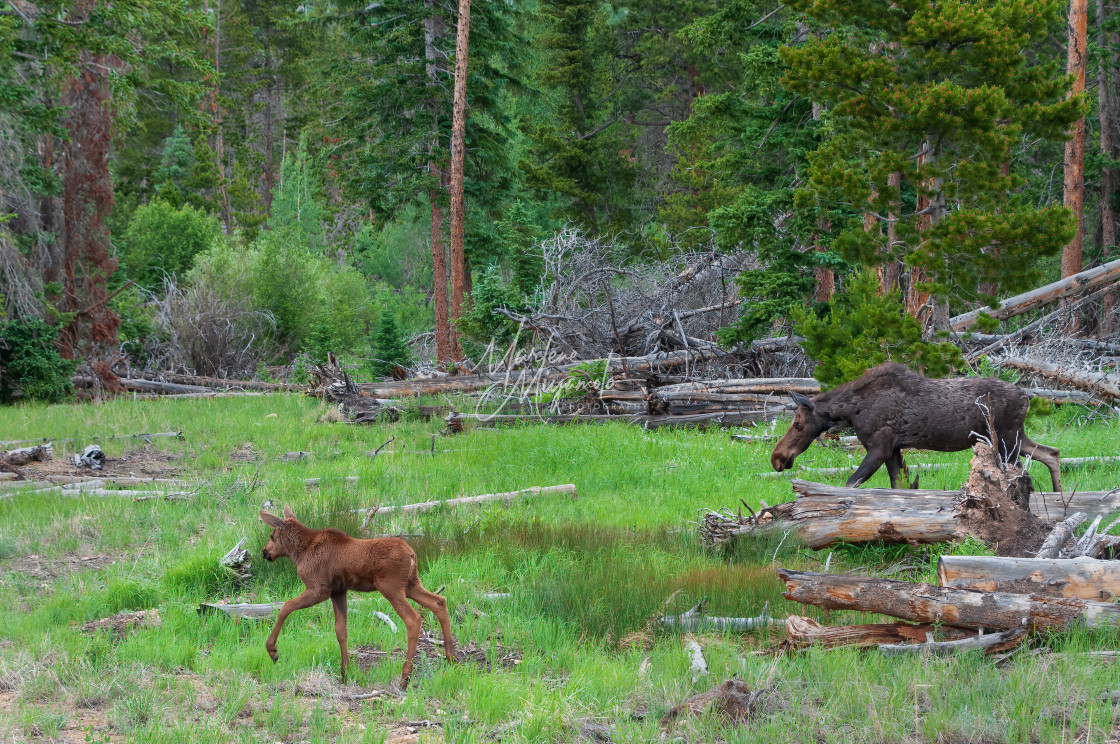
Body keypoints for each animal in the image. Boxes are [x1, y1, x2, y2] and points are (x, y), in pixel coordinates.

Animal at [259, 506, 456, 690]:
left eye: (271, 535)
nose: (264, 552)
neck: (299, 553)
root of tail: (412, 554)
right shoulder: (338, 591)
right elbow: (341, 631)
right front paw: (345, 673)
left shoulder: (319, 589)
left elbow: (285, 607)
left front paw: (272, 650)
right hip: (411, 585)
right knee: (439, 601)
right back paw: (451, 658)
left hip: (391, 587)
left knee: (413, 618)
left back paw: (405, 678)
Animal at [770, 360, 1057, 490]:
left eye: (798, 423)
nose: (777, 457)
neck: (851, 411)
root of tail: (1027, 397)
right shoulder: (893, 449)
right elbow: (899, 485)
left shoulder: (879, 447)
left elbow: (850, 484)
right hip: (1016, 437)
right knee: (1051, 453)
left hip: (1007, 440)